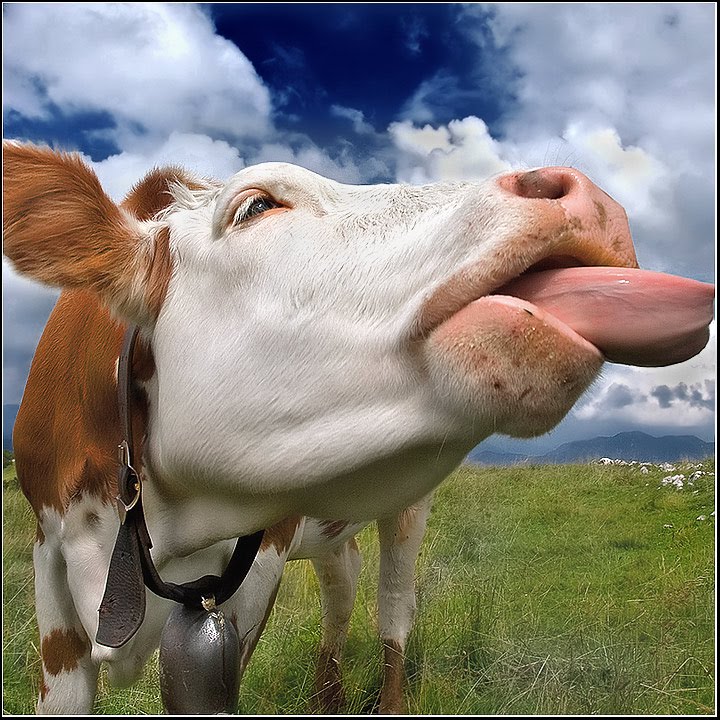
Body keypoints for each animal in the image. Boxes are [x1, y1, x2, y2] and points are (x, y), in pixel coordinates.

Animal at [3, 141, 714, 715]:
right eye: (255, 207)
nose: (583, 195)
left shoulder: (256, 568)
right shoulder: (49, 563)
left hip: (408, 507)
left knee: (391, 607)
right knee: (341, 587)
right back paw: (327, 694)